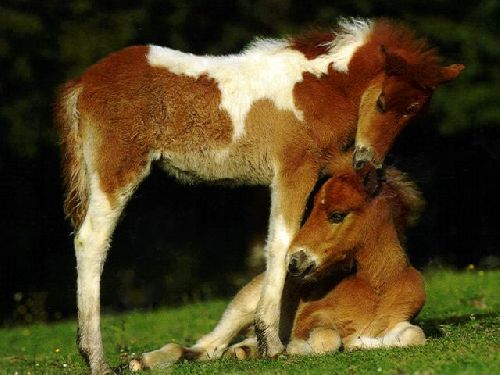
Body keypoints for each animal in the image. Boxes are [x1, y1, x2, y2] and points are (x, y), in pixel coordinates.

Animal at [132, 169, 426, 372]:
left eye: (337, 215)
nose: (294, 261)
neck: (377, 286)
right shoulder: (313, 319)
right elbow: (327, 340)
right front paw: (297, 348)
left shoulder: (400, 320)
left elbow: (415, 336)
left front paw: (360, 343)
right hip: (243, 307)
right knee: (205, 346)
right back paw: (142, 362)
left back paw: (244, 352)